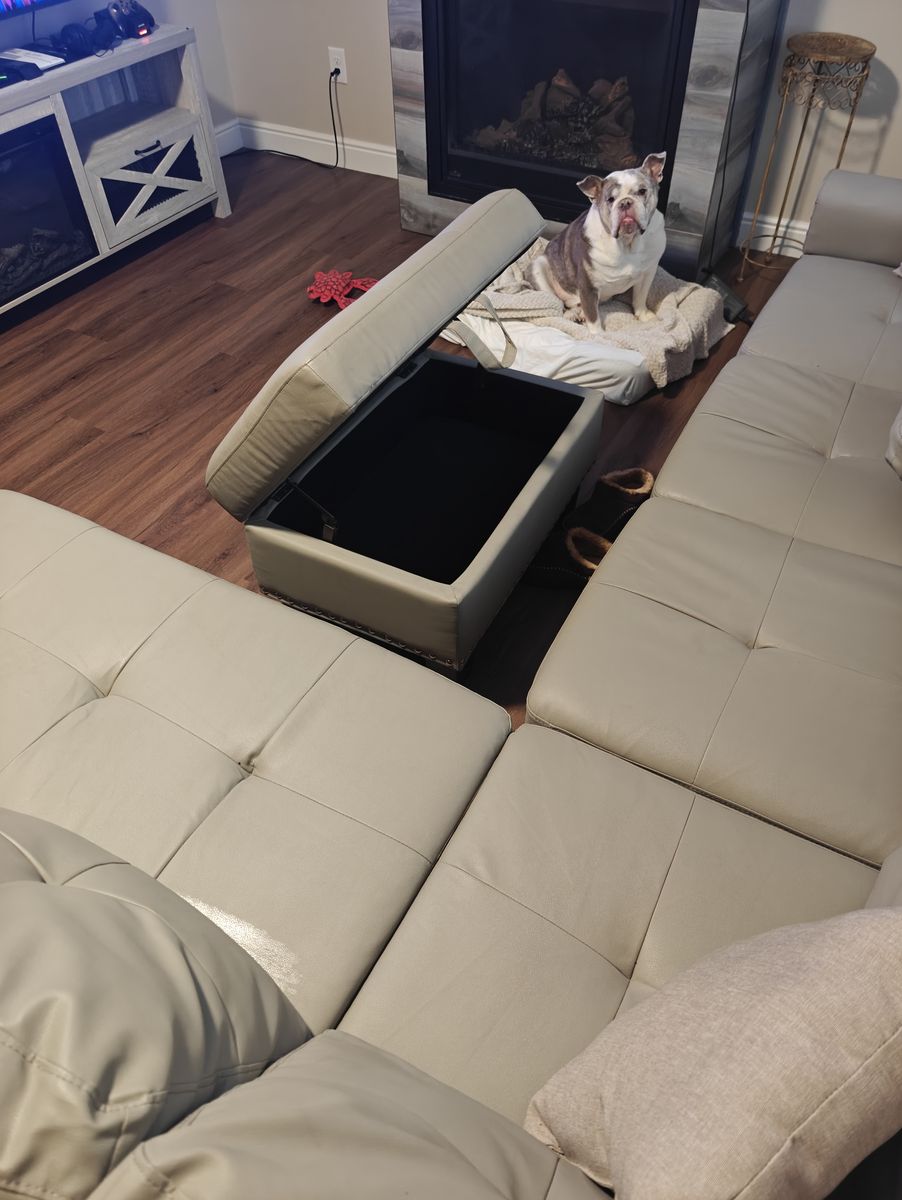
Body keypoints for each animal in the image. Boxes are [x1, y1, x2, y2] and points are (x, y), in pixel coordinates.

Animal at [527, 152, 667, 330]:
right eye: (610, 199)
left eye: (642, 191)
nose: (625, 202)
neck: (627, 243)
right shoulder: (588, 287)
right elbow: (593, 318)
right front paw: (598, 334)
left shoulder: (647, 273)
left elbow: (640, 297)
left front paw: (643, 316)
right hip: (538, 267)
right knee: (558, 303)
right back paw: (571, 314)